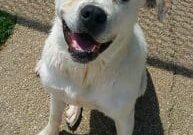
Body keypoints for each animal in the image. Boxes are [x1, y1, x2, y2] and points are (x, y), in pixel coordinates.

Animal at [35, 0, 167, 134]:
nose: (93, 14)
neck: (86, 69)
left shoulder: (124, 118)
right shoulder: (56, 93)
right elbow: (54, 118)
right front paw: (49, 132)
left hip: (142, 85)